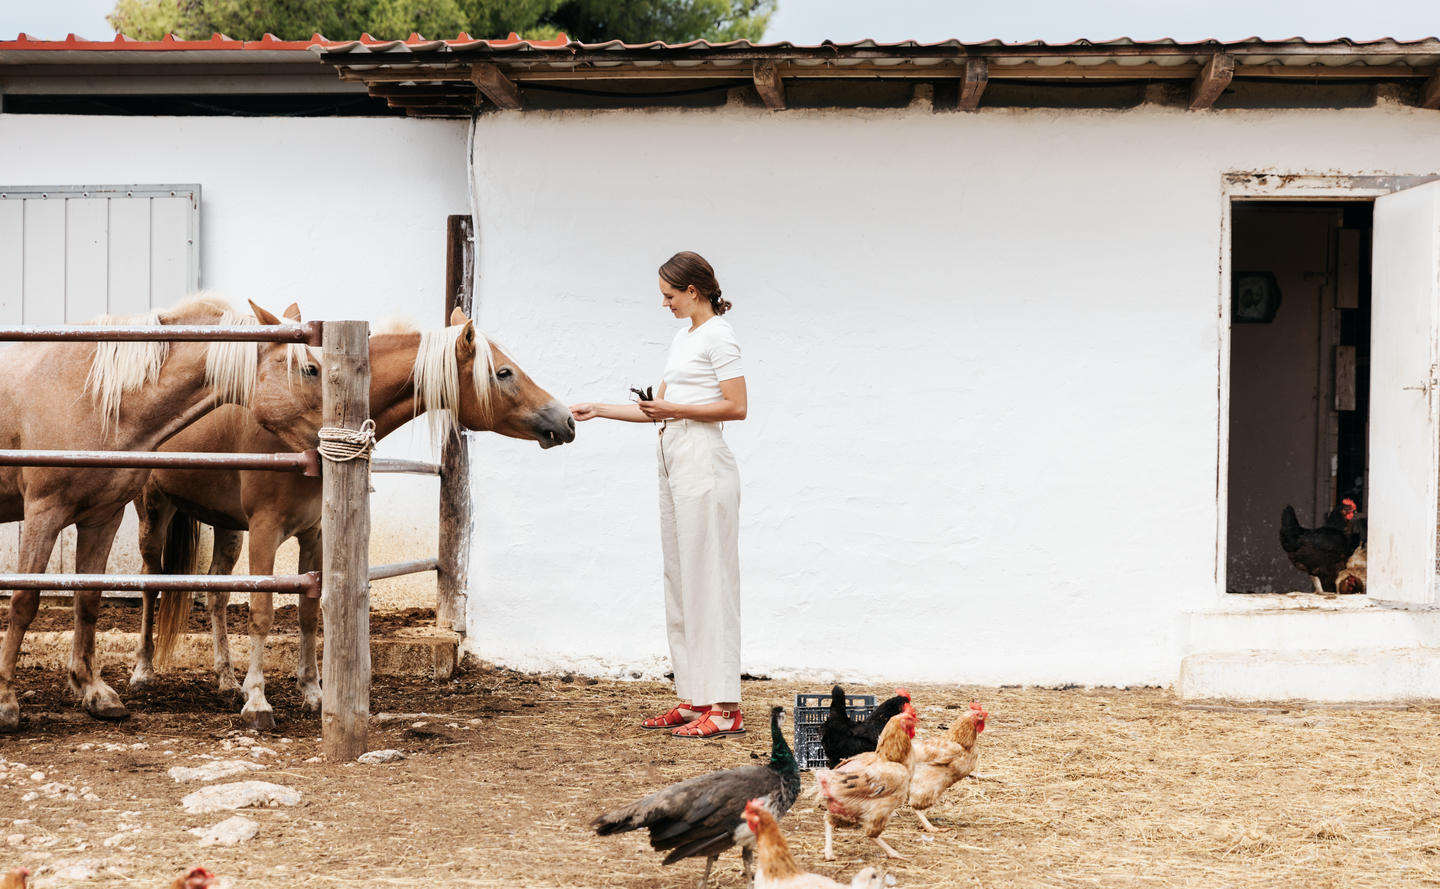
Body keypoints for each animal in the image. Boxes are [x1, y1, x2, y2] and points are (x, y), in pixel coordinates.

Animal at [0, 298, 321, 729]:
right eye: (311, 369)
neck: (89, 394)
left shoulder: (102, 518)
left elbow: (88, 600)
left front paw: (95, 692)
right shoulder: (43, 513)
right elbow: (23, 602)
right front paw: (6, 701)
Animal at [132, 305, 573, 729]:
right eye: (504, 372)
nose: (566, 421)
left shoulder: (314, 534)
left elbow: (309, 615)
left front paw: (313, 692)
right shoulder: (265, 530)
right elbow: (262, 614)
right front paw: (257, 701)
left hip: (227, 528)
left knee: (216, 594)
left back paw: (226, 679)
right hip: (154, 516)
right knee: (151, 584)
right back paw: (143, 671)